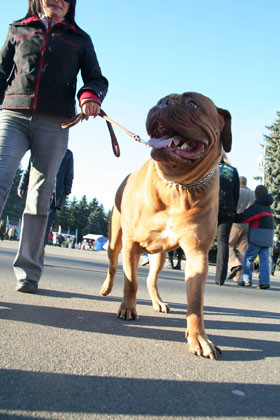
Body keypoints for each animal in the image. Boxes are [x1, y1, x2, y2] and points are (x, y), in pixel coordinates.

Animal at [100, 92, 232, 360]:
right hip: (116, 239)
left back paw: (158, 302)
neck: (178, 185)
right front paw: (127, 308)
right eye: (162, 99)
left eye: (192, 103)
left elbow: (196, 302)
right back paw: (107, 288)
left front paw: (199, 338)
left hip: (160, 255)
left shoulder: (197, 252)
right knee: (113, 266)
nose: (163, 103)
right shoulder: (132, 243)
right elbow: (131, 281)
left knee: (152, 279)